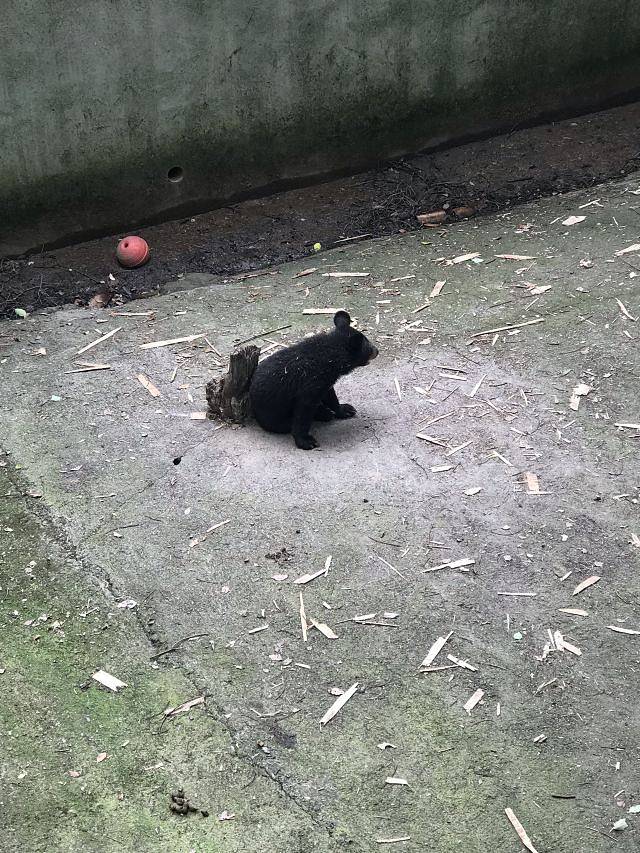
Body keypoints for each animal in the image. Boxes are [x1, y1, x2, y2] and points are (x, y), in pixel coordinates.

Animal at [249, 310, 378, 450]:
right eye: (368, 347)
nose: (377, 351)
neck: (330, 356)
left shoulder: (325, 381)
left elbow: (330, 396)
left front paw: (345, 409)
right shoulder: (310, 384)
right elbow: (303, 411)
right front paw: (305, 440)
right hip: (271, 413)